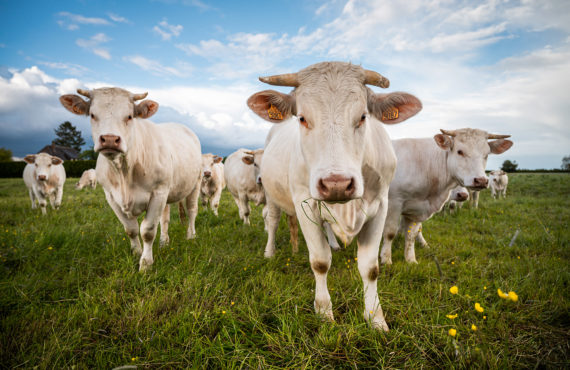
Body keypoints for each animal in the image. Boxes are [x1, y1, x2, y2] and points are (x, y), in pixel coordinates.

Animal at [59, 87, 201, 272]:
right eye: (92, 114)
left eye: (129, 116)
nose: (110, 139)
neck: (123, 171)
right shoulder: (111, 197)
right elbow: (131, 229)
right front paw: (136, 253)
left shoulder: (158, 192)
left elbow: (147, 230)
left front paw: (146, 264)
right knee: (165, 218)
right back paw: (164, 242)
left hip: (195, 183)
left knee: (192, 211)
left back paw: (191, 236)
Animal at [247, 62, 422, 330]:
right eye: (302, 118)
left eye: (363, 117)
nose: (336, 184)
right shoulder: (304, 204)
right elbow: (320, 262)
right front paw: (324, 312)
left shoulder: (381, 206)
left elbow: (370, 268)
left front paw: (375, 318)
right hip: (270, 191)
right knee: (273, 221)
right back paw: (270, 252)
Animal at [380, 129, 512, 264]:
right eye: (460, 151)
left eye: (486, 154)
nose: (481, 181)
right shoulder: (394, 203)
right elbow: (390, 232)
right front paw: (386, 260)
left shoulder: (416, 208)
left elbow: (411, 235)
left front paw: (411, 260)